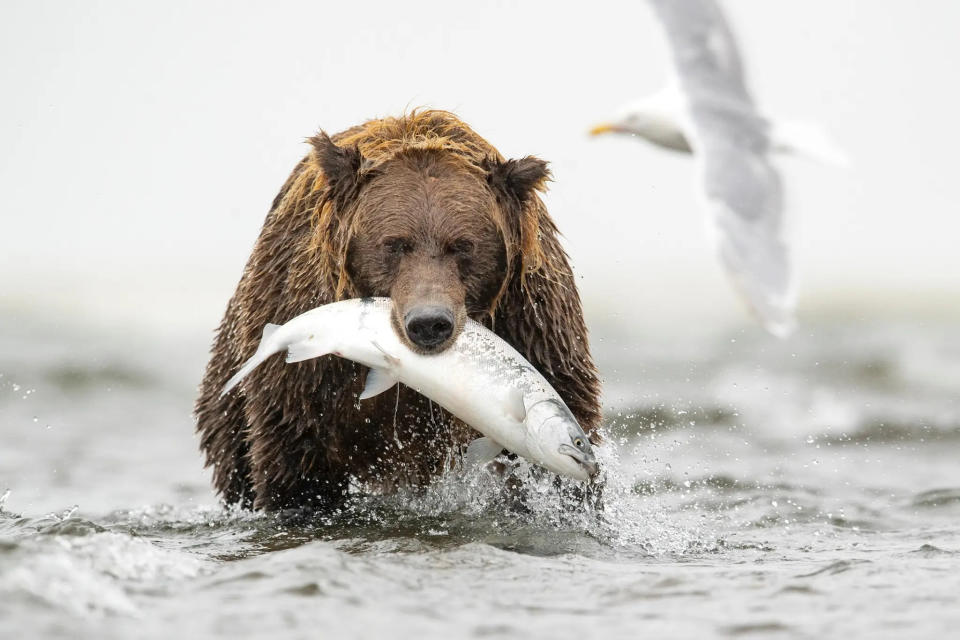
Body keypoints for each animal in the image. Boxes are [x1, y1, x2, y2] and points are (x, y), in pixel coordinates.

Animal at [194, 109, 600, 510]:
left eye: (463, 245)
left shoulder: (533, 320)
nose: (429, 323)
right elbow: (296, 462)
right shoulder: (309, 372)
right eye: (394, 244)